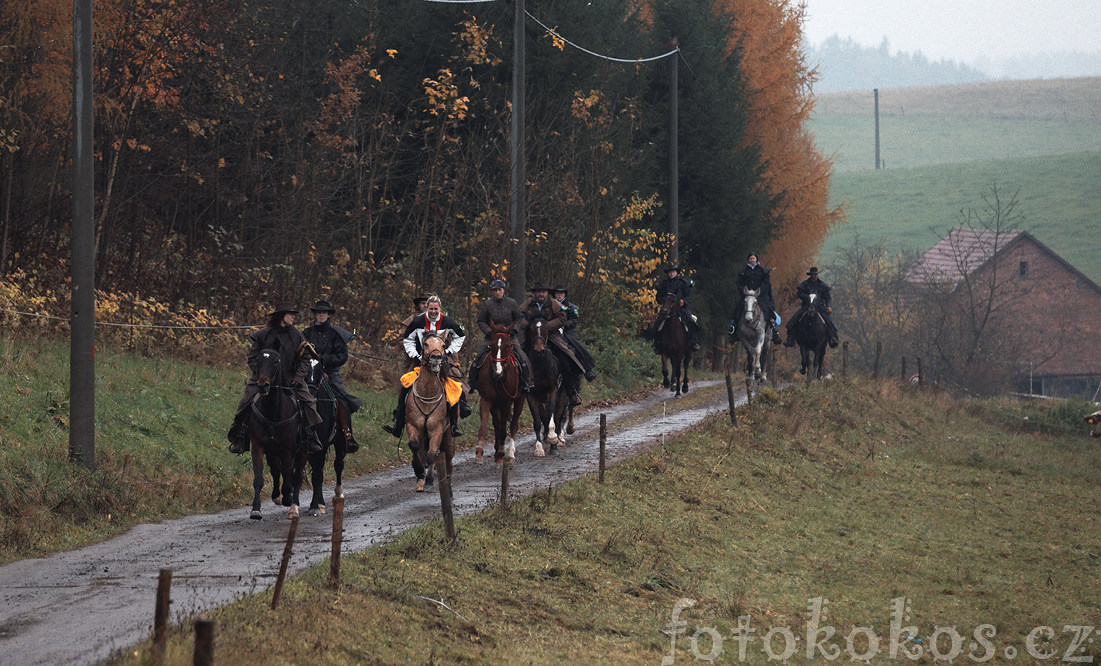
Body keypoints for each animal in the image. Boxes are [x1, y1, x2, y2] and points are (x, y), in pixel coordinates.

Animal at [245, 347, 306, 519]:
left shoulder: (288, 449)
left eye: (276, 361)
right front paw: (256, 509)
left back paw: (293, 506)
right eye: (258, 360)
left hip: (302, 452)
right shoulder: (258, 447)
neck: (273, 412)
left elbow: (288, 474)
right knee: (276, 470)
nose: (263, 385)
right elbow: (259, 477)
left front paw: (287, 498)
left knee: (296, 476)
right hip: (273, 452)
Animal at [303, 358, 345, 515]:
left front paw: (317, 505)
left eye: (320, 371)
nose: (309, 393)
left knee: (338, 465)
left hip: (340, 443)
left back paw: (338, 494)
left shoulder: (321, 446)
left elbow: (317, 476)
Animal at [405, 334, 455, 490]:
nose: (436, 357)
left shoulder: (436, 428)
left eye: (443, 345)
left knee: (447, 455)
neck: (427, 393)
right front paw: (419, 472)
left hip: (448, 435)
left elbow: (432, 454)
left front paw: (428, 479)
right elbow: (415, 447)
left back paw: (446, 478)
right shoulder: (413, 425)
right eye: (426, 343)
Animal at [473, 321, 524, 462]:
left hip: (520, 400)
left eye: (507, 345)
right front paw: (479, 452)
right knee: (497, 424)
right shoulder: (487, 400)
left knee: (513, 424)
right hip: (496, 405)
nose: (498, 372)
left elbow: (503, 429)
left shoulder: (507, 402)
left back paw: (510, 452)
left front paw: (501, 452)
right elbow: (485, 426)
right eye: (492, 345)